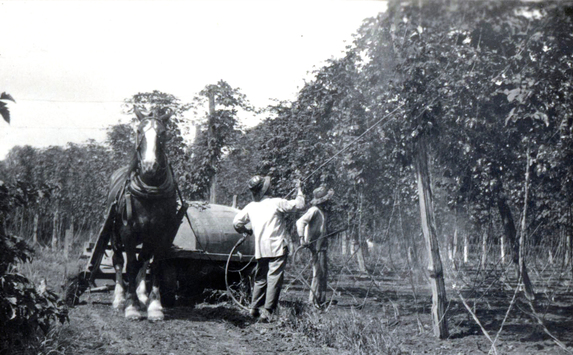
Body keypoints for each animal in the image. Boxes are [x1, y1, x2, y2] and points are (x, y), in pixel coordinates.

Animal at [106, 107, 178, 322]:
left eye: (163, 133)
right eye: (139, 131)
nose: (149, 167)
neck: (150, 192)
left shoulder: (162, 235)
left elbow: (154, 265)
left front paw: (154, 306)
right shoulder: (128, 233)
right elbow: (129, 265)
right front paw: (131, 306)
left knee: (144, 260)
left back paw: (142, 296)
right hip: (114, 234)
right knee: (119, 262)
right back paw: (120, 299)